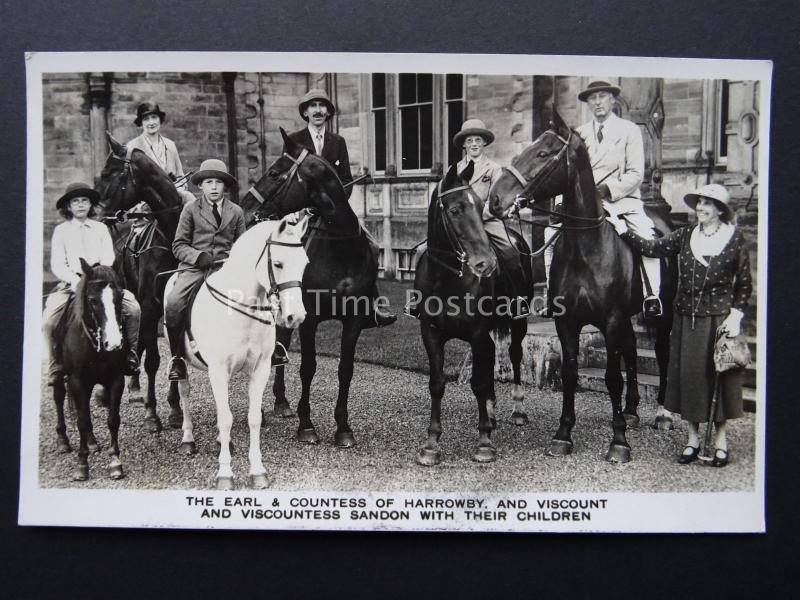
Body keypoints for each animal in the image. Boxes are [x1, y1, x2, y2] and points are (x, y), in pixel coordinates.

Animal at [52, 260, 128, 480]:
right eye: (93, 300)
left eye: (120, 295)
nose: (115, 343)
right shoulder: (77, 380)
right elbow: (82, 420)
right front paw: (82, 465)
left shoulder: (116, 378)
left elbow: (113, 419)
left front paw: (115, 462)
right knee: (59, 397)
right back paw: (63, 441)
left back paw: (93, 442)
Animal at [165, 210, 310, 488]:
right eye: (278, 264)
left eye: (305, 263)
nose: (296, 317)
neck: (241, 305)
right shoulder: (219, 369)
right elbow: (225, 418)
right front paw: (225, 474)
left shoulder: (260, 369)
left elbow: (253, 418)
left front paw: (258, 471)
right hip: (184, 362)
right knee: (185, 392)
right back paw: (188, 439)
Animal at [412, 163, 536, 464]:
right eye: (455, 210)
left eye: (480, 206)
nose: (486, 264)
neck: (448, 277)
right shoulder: (431, 334)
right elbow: (437, 384)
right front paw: (431, 444)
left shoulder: (478, 334)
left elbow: (478, 383)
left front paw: (484, 443)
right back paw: (491, 413)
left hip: (518, 323)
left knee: (514, 355)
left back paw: (517, 410)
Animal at [488, 110, 676, 462]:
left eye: (543, 154)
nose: (495, 199)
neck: (587, 249)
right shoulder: (568, 322)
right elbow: (571, 374)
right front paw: (563, 434)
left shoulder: (611, 321)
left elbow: (612, 377)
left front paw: (619, 442)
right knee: (632, 350)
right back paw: (631, 411)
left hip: (662, 315)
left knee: (661, 354)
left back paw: (662, 414)